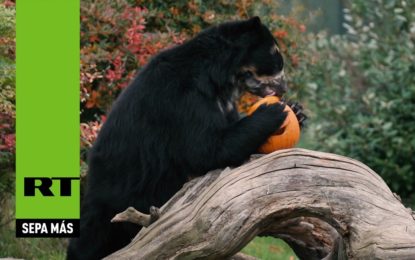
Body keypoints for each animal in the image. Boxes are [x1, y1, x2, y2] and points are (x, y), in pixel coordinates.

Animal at [66, 17, 290, 258]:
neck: (221, 79)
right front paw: (274, 111)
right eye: (276, 56)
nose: (284, 88)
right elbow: (206, 148)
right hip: (118, 195)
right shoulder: (183, 98)